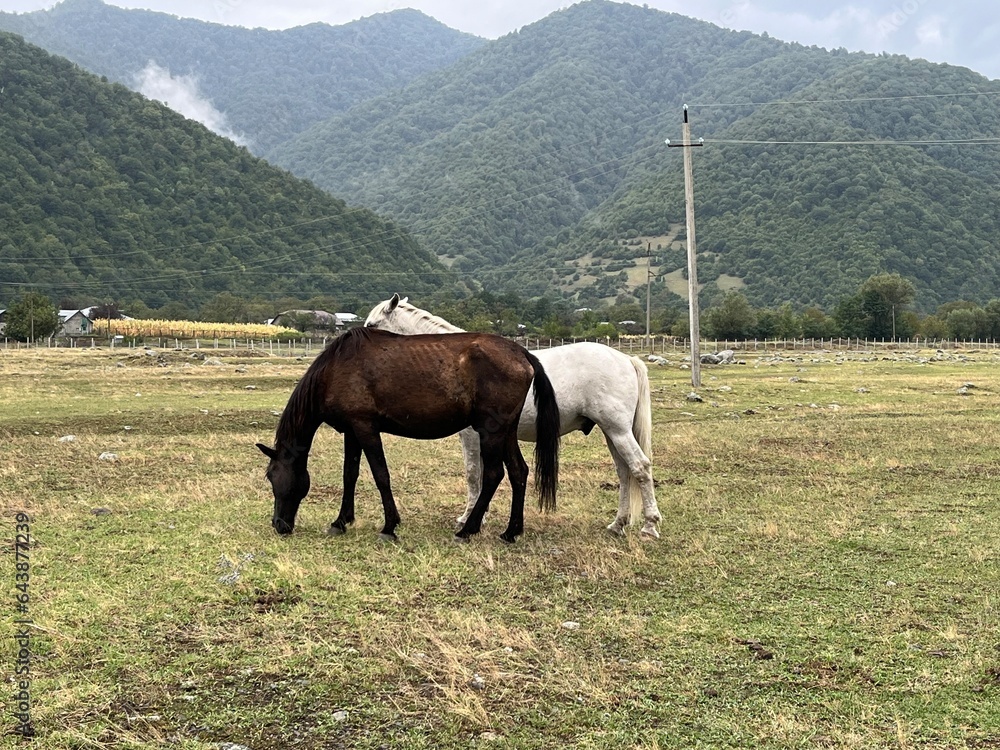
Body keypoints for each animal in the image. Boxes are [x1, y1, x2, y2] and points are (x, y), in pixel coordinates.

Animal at [256, 326, 560, 543]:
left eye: (273, 477)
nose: (278, 525)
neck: (335, 370)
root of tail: (523, 353)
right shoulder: (352, 431)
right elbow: (349, 475)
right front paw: (341, 521)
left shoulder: (365, 428)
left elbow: (381, 475)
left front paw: (389, 526)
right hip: (506, 431)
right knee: (519, 472)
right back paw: (511, 532)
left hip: (490, 431)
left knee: (494, 475)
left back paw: (467, 530)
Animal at [364, 294, 662, 538]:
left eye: (372, 325)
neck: (457, 361)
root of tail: (626, 359)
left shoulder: (471, 436)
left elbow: (473, 474)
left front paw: (468, 518)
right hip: (612, 432)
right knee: (624, 472)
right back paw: (618, 524)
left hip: (617, 431)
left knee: (640, 468)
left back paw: (649, 526)